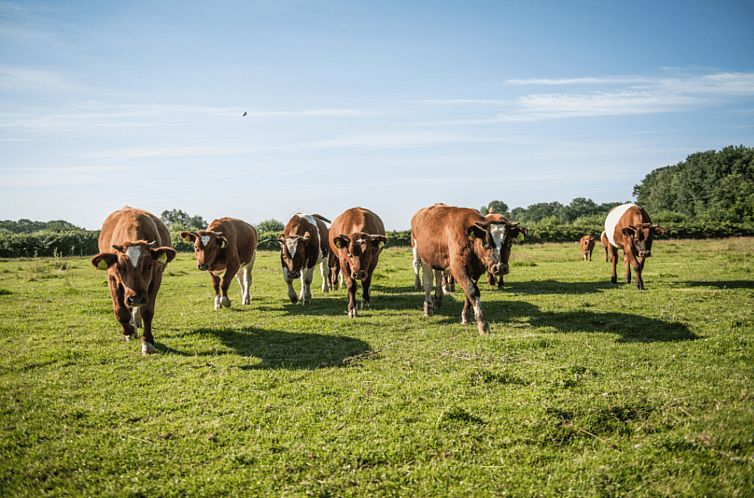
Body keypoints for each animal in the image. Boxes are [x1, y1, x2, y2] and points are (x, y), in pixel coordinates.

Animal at [90, 206, 176, 354]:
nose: (135, 298)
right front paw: (129, 330)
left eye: (149, 266)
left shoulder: (156, 278)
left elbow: (147, 311)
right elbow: (120, 311)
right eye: (120, 267)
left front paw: (147, 341)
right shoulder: (112, 278)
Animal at [408, 202, 524, 334]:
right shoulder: (457, 267)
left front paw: (466, 316)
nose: (499, 268)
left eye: (509, 243)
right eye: (486, 243)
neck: (470, 241)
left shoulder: (476, 271)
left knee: (438, 275)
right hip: (423, 255)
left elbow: (469, 292)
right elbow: (472, 290)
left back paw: (438, 298)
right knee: (427, 281)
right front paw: (482, 324)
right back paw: (428, 306)